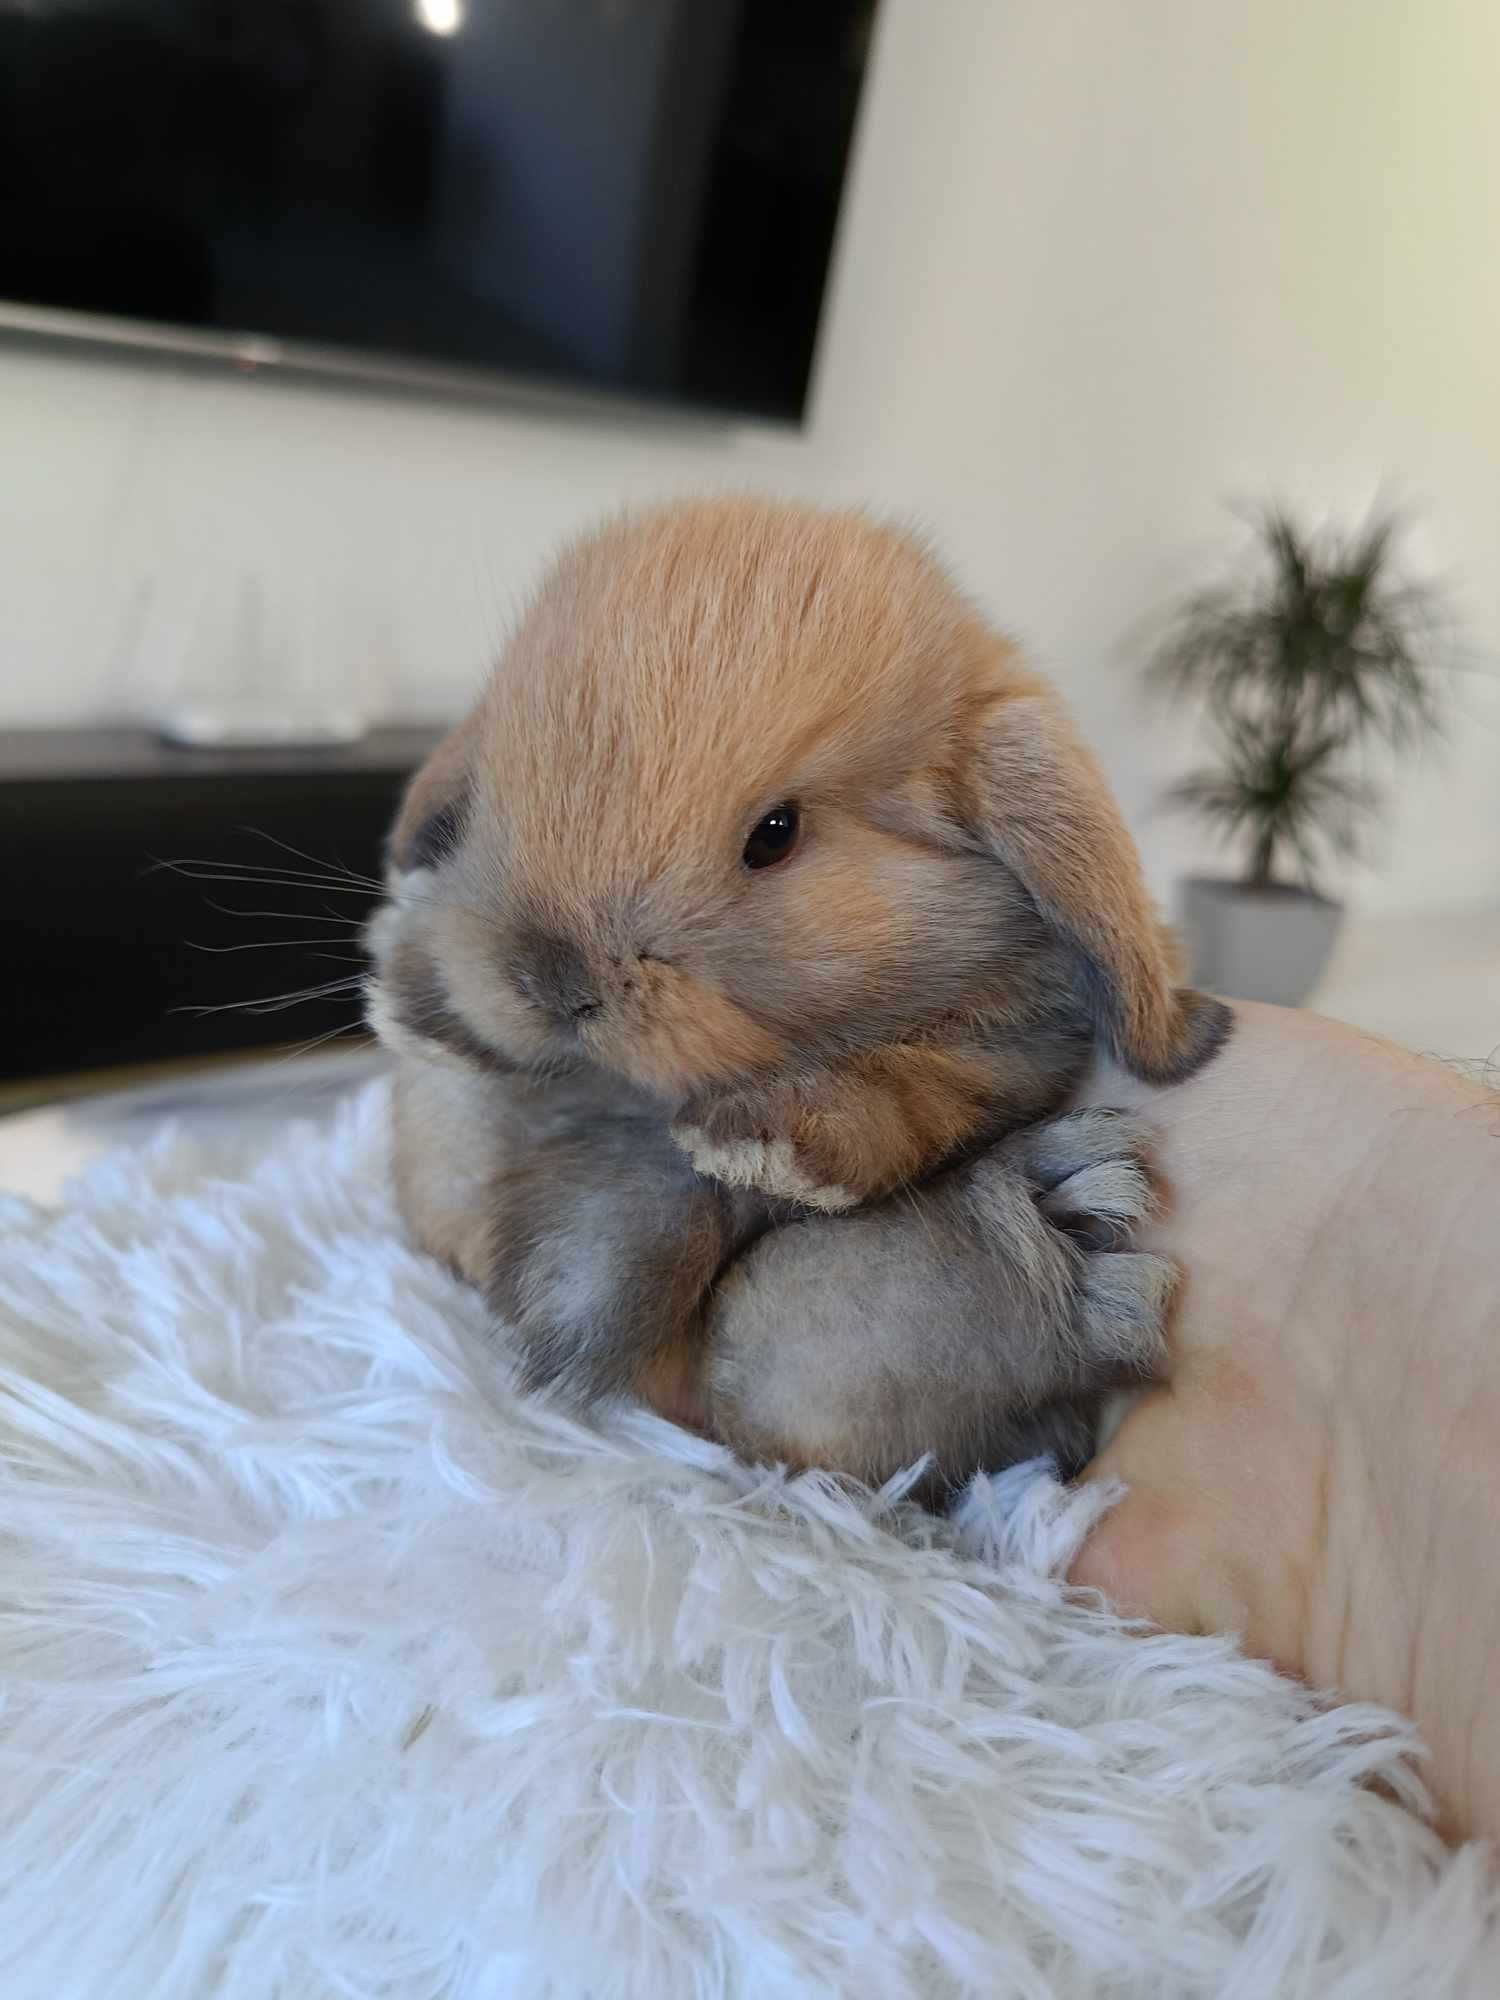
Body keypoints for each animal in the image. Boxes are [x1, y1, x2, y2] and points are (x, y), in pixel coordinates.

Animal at [368, 504, 1232, 1488]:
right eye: (495, 792)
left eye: (775, 834)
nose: (553, 981)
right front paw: (414, 999)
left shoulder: (1006, 1047)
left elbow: (912, 1086)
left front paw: (760, 1147)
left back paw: (1070, 1240)